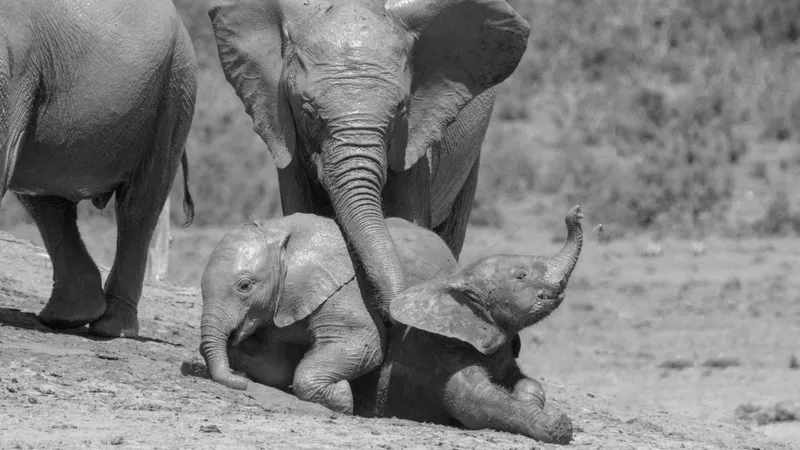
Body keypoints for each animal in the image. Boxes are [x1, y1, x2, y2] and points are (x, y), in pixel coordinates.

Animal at [197, 206, 584, 444]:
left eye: (244, 286)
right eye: (521, 276)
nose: (576, 212)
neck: (283, 232)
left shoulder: (350, 288)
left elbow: (366, 346)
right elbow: (471, 400)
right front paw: (344, 399)